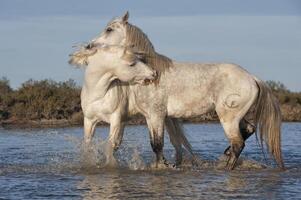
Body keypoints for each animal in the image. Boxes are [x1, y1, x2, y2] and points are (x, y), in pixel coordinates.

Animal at [85, 11, 284, 170]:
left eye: (109, 29)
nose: (89, 46)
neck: (152, 74)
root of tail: (252, 78)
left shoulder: (157, 115)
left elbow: (158, 145)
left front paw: (163, 166)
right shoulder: (150, 117)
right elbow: (155, 144)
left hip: (228, 118)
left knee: (238, 144)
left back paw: (226, 167)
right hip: (239, 116)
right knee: (248, 130)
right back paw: (225, 156)